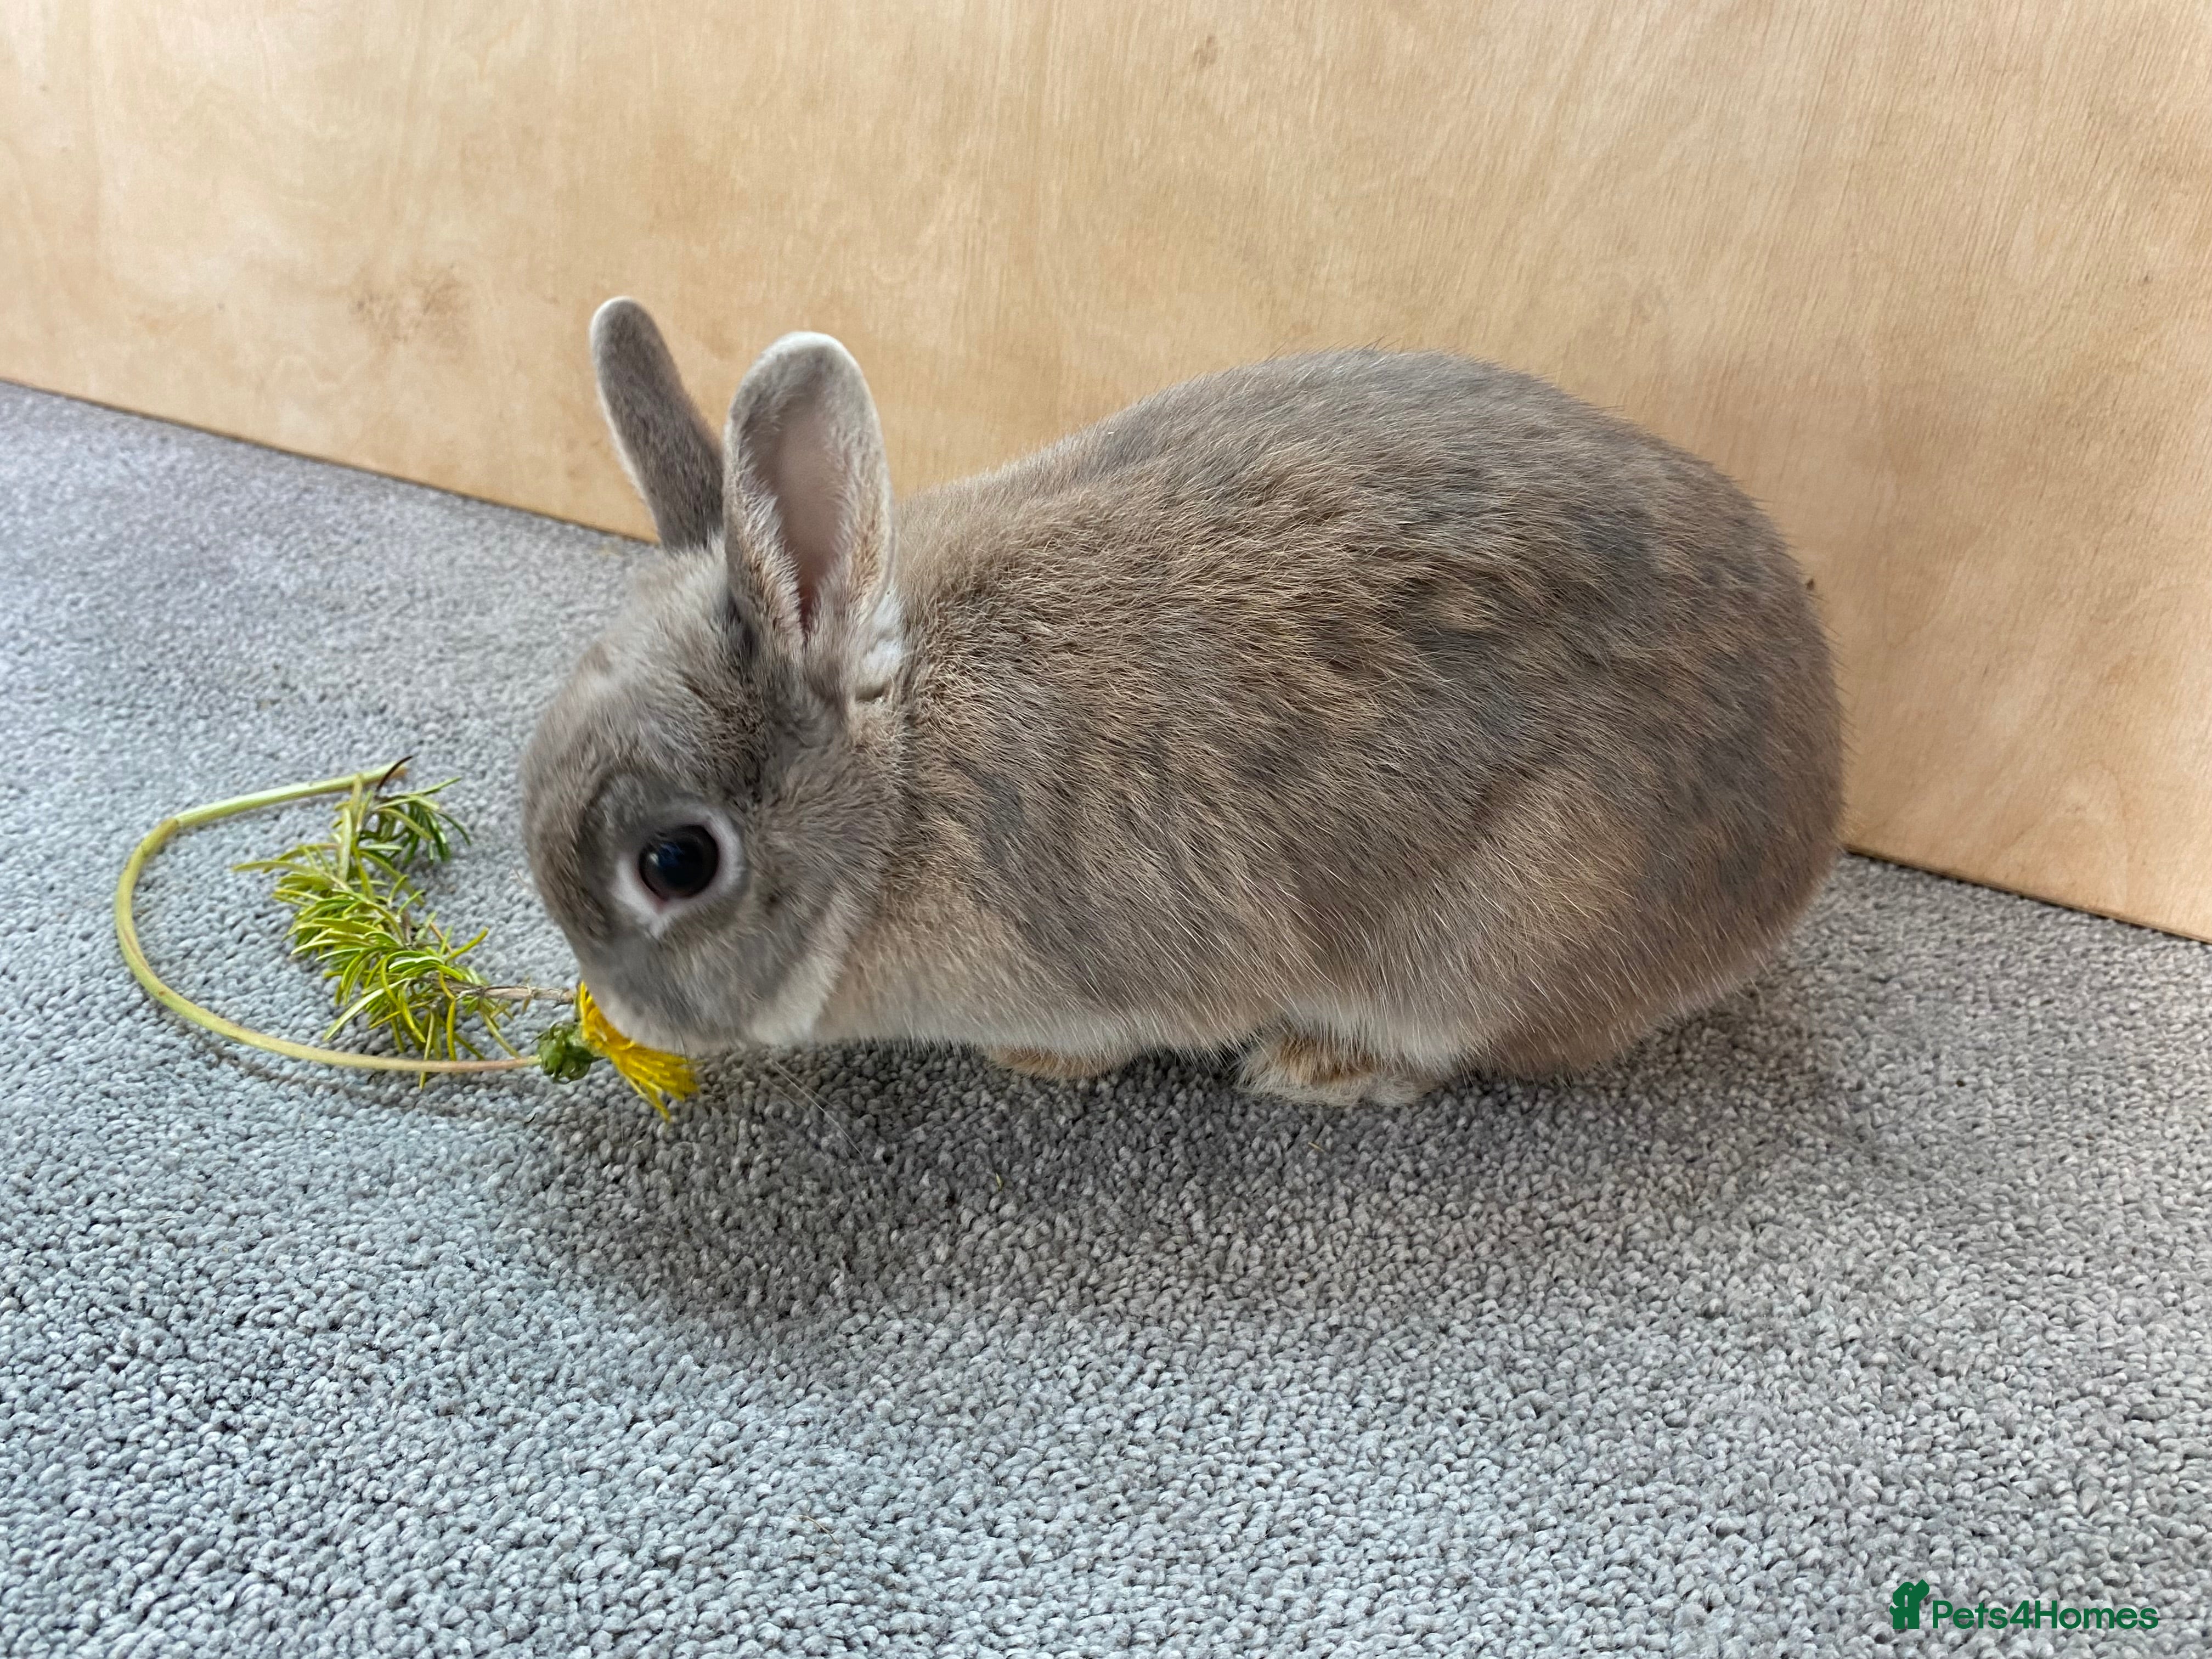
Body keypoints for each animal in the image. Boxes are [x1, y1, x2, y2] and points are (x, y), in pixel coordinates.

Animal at [521, 298, 1843, 1106]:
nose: (621, 1016)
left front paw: (1027, 1063)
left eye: (678, 862)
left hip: (1499, 932)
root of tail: (1815, 801)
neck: (898, 795)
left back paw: (1317, 1066)